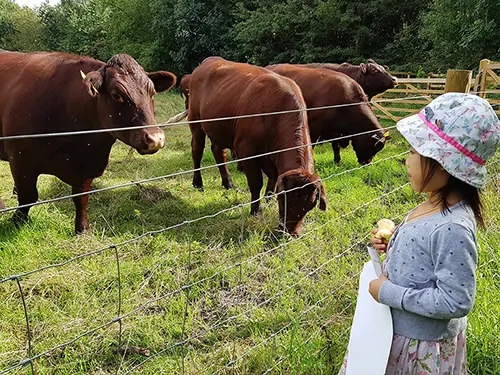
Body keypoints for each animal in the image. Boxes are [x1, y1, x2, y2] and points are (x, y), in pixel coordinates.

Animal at [0, 51, 177, 234]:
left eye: (152, 93)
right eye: (116, 95)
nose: (155, 139)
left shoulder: (87, 166)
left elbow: (81, 199)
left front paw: (83, 229)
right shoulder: (20, 159)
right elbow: (28, 196)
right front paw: (17, 221)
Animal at [189, 56, 326, 235]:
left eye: (309, 206)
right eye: (284, 199)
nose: (290, 233)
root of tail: (209, 60)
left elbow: (273, 178)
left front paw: (268, 198)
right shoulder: (246, 150)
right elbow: (256, 183)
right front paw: (256, 211)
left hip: (220, 129)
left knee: (218, 152)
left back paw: (228, 183)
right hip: (195, 121)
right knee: (197, 151)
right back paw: (198, 183)